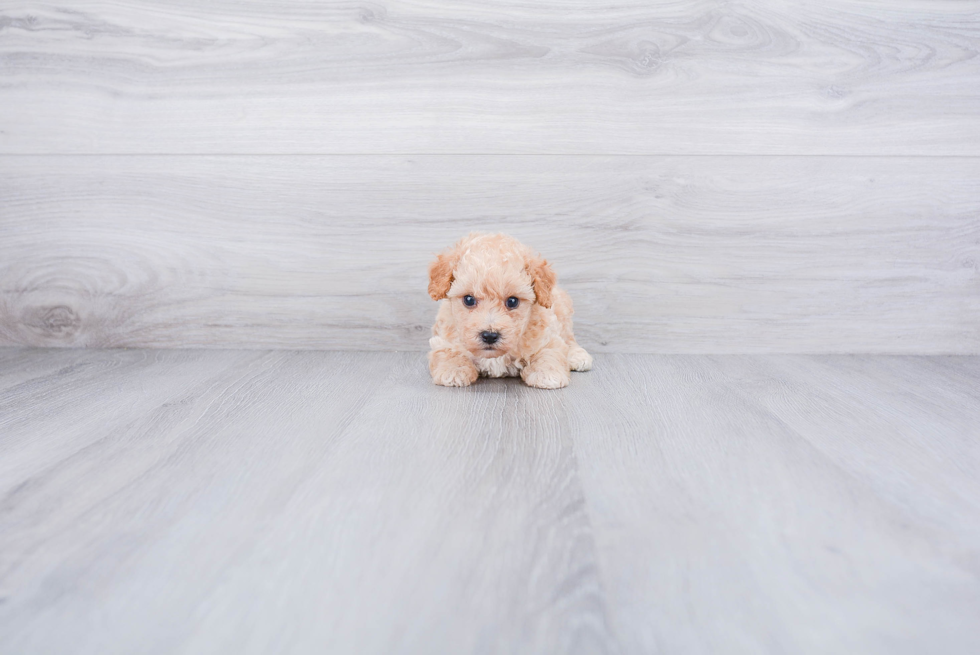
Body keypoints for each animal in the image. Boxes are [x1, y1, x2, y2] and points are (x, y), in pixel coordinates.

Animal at [426, 233, 592, 390]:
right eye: (469, 300)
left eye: (512, 301)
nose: (490, 336)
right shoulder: (444, 339)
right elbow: (448, 353)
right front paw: (454, 370)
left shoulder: (547, 336)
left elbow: (549, 352)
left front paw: (547, 374)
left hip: (562, 312)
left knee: (569, 339)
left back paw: (578, 356)